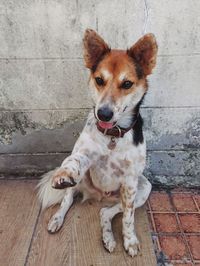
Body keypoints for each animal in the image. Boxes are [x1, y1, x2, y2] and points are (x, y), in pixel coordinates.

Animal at [38, 29, 158, 258]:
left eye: (127, 84)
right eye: (99, 80)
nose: (103, 113)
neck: (113, 135)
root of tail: (99, 196)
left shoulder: (131, 181)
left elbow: (128, 218)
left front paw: (129, 240)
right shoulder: (85, 155)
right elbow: (74, 160)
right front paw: (65, 172)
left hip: (142, 188)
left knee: (106, 212)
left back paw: (108, 237)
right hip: (80, 181)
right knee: (67, 199)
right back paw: (57, 218)